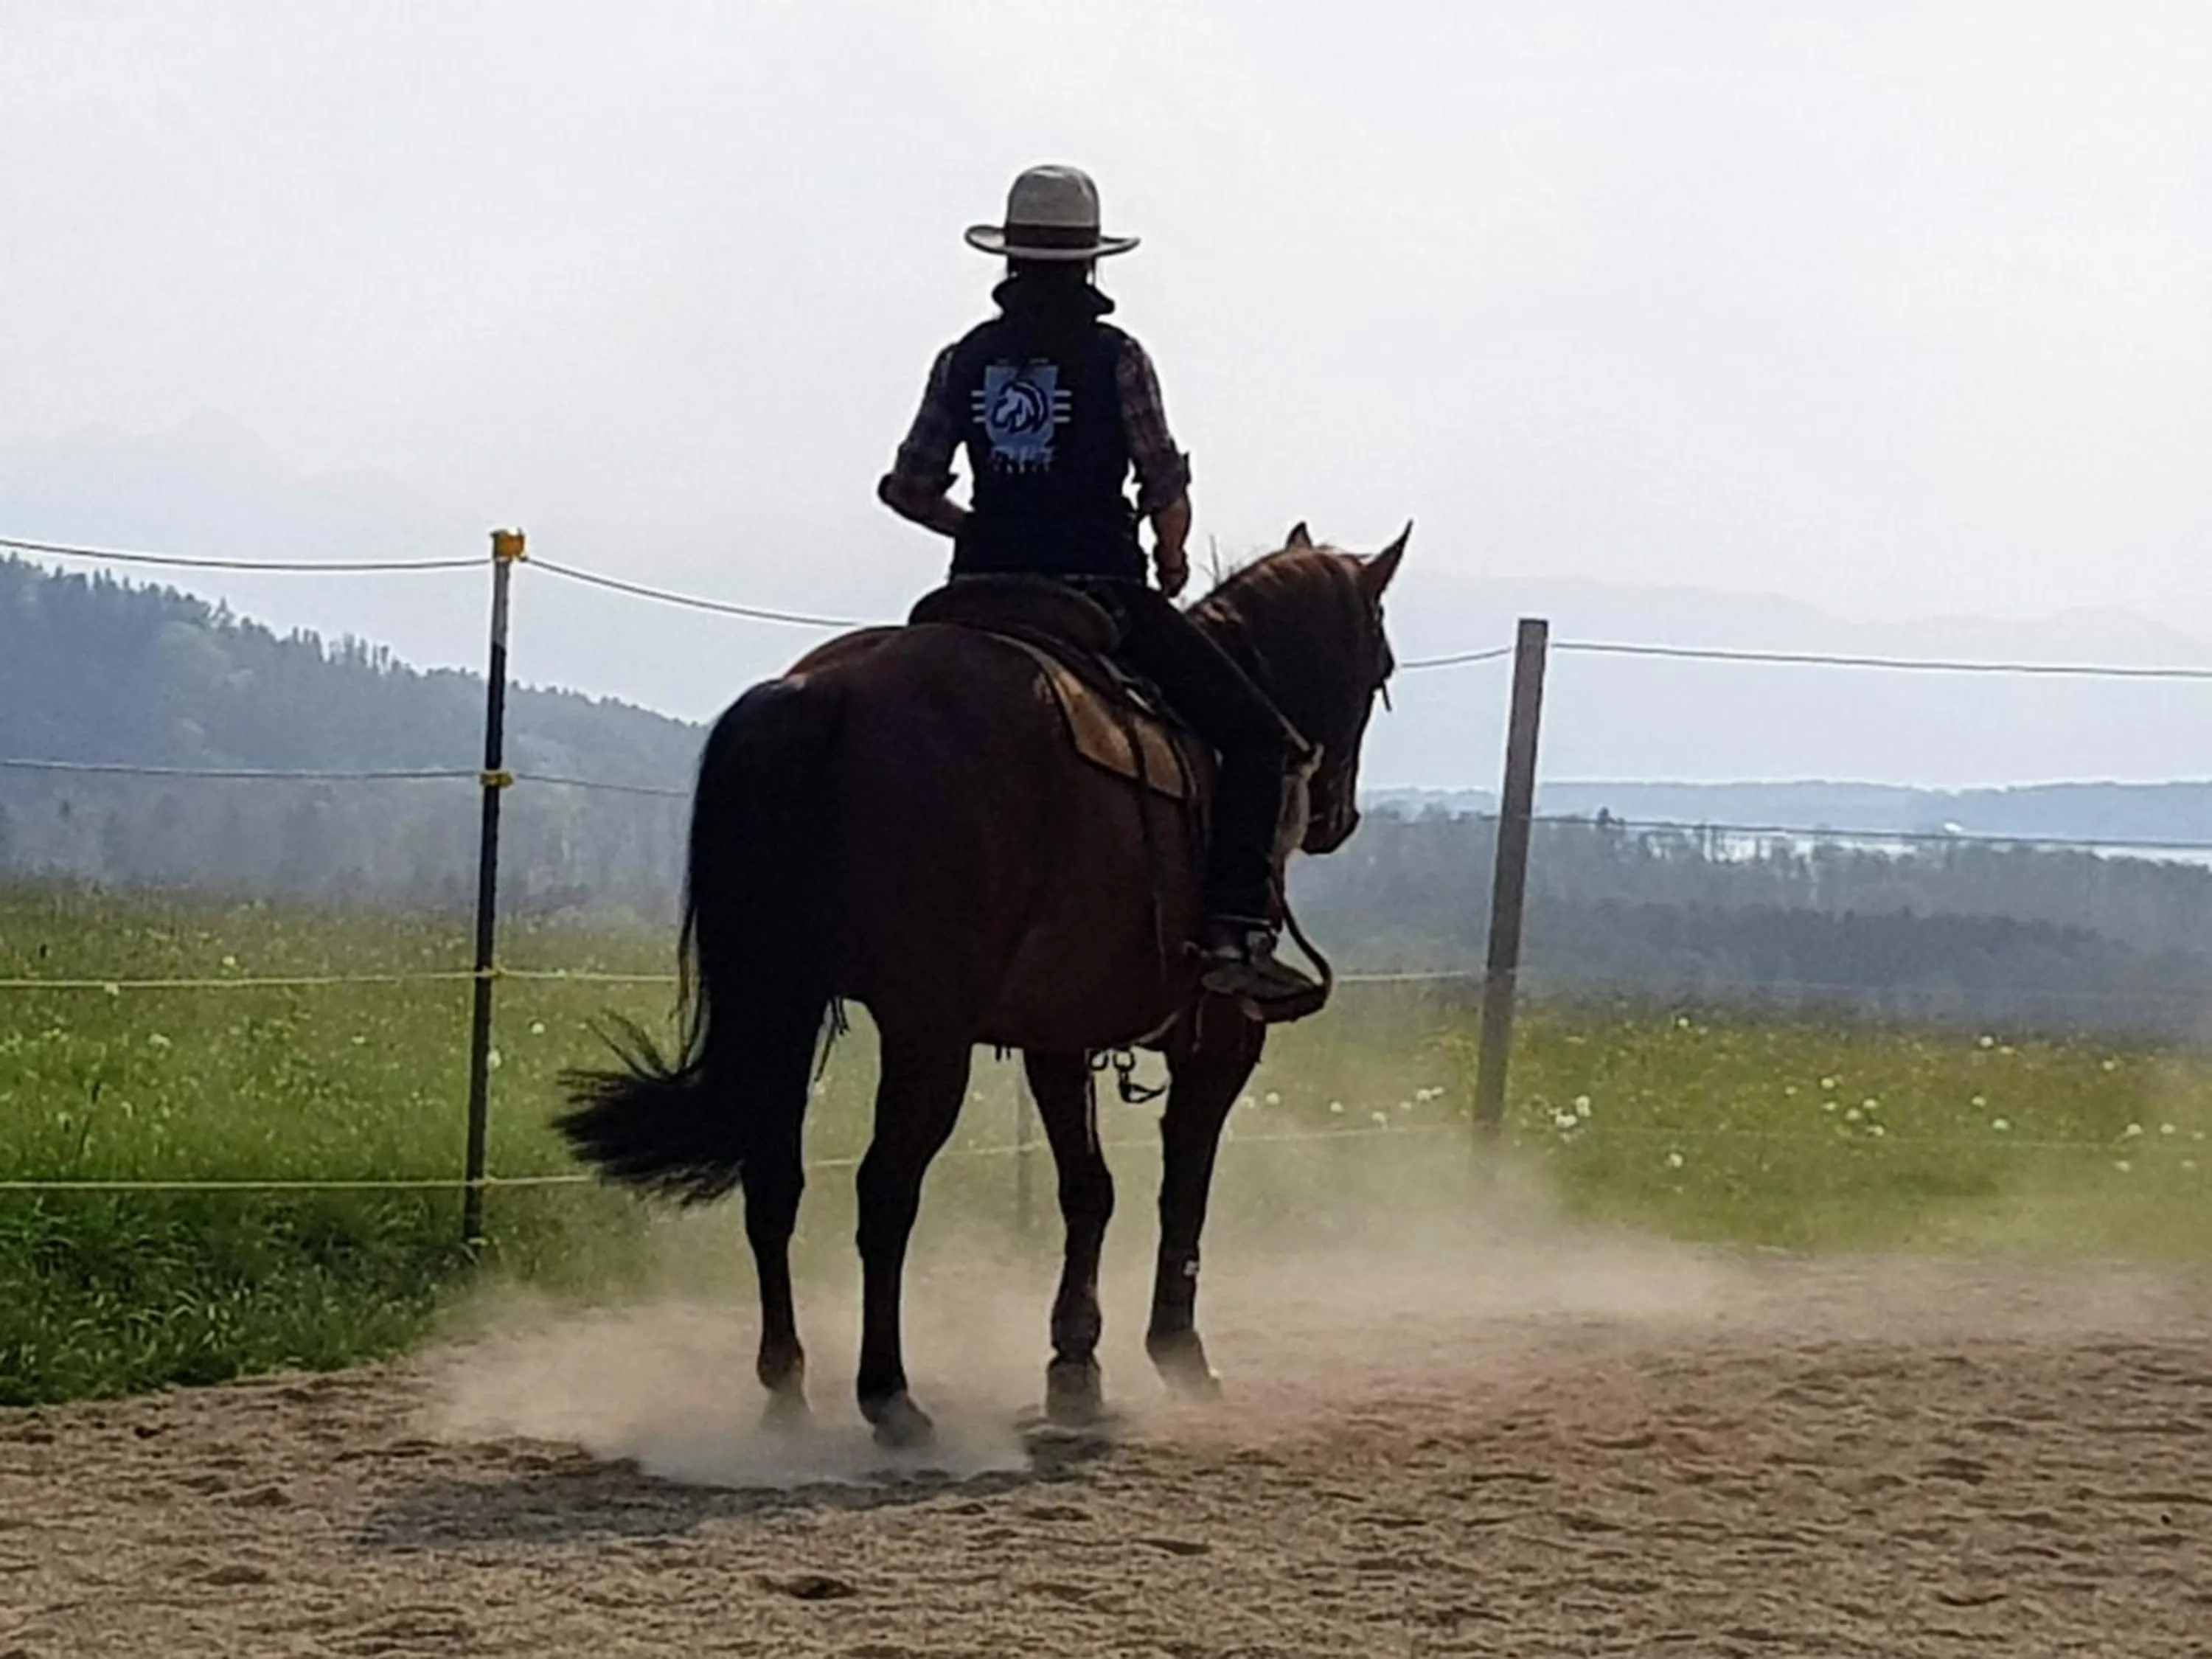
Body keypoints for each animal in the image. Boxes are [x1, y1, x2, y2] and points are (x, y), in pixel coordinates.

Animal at [557, 522, 1408, 1448]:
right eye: (1381, 665)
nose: (1337, 818)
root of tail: (818, 697)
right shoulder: (1220, 1040)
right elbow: (1183, 1189)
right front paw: (1178, 1354)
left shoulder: (1058, 1039)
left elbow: (1088, 1191)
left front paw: (1075, 1365)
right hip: (926, 1033)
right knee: (885, 1192)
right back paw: (889, 1394)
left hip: (787, 1003)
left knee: (774, 1183)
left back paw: (787, 1389)